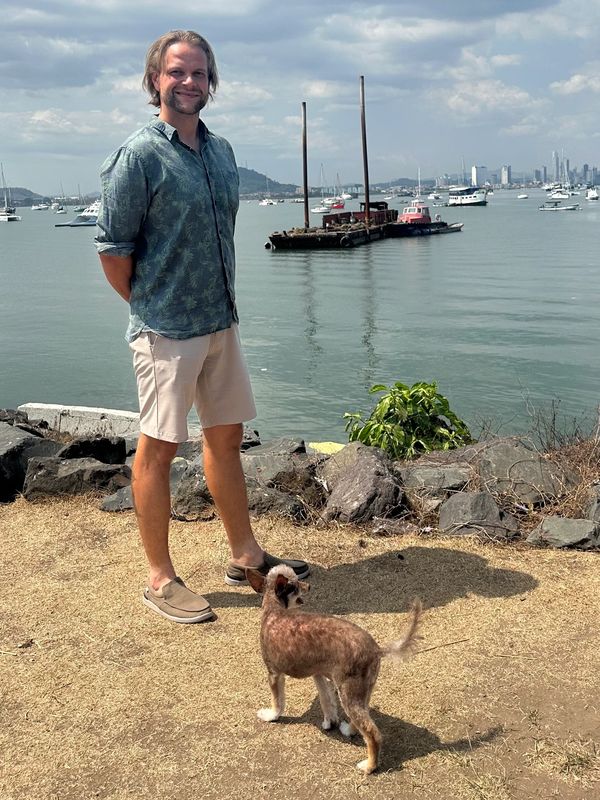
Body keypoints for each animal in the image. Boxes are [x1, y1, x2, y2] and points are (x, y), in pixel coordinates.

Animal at [247, 564, 422, 774]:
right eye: (296, 584)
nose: (309, 585)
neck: (275, 611)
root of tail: (376, 648)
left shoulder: (274, 673)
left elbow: (278, 702)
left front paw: (271, 716)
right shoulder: (319, 674)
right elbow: (327, 701)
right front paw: (329, 721)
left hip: (348, 692)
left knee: (373, 733)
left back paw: (369, 766)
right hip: (362, 691)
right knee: (361, 718)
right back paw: (348, 730)